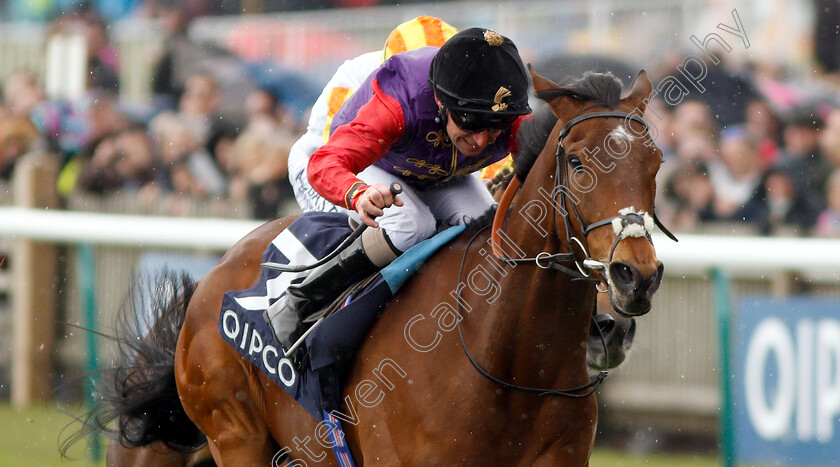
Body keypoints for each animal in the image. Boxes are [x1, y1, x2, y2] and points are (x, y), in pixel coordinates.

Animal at [83, 67, 668, 466]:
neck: (511, 364)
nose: (634, 276)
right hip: (233, 434)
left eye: (656, 162)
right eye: (578, 162)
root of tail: (210, 281)